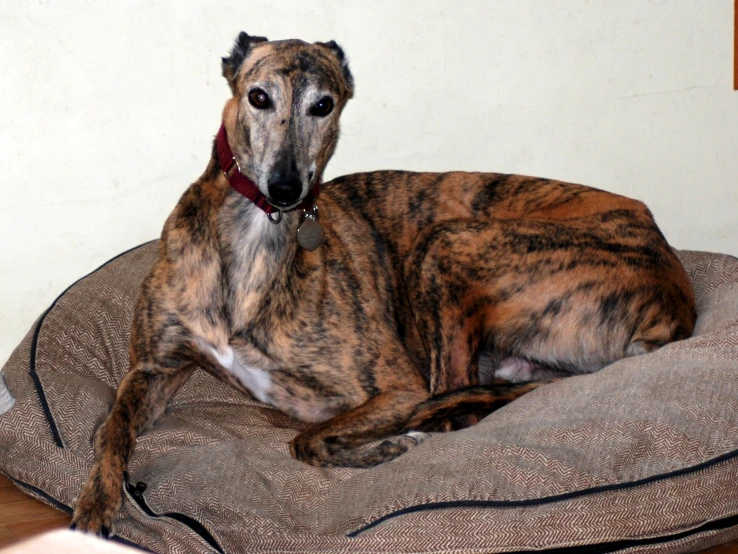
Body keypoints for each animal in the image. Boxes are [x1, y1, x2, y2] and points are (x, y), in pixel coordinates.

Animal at [70, 32, 696, 532]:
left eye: (323, 105)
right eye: (258, 96)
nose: (286, 189)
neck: (252, 243)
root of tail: (678, 300)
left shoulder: (399, 387)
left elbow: (309, 441)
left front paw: (389, 445)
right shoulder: (155, 369)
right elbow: (110, 428)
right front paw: (95, 504)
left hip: (447, 246)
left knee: (459, 412)